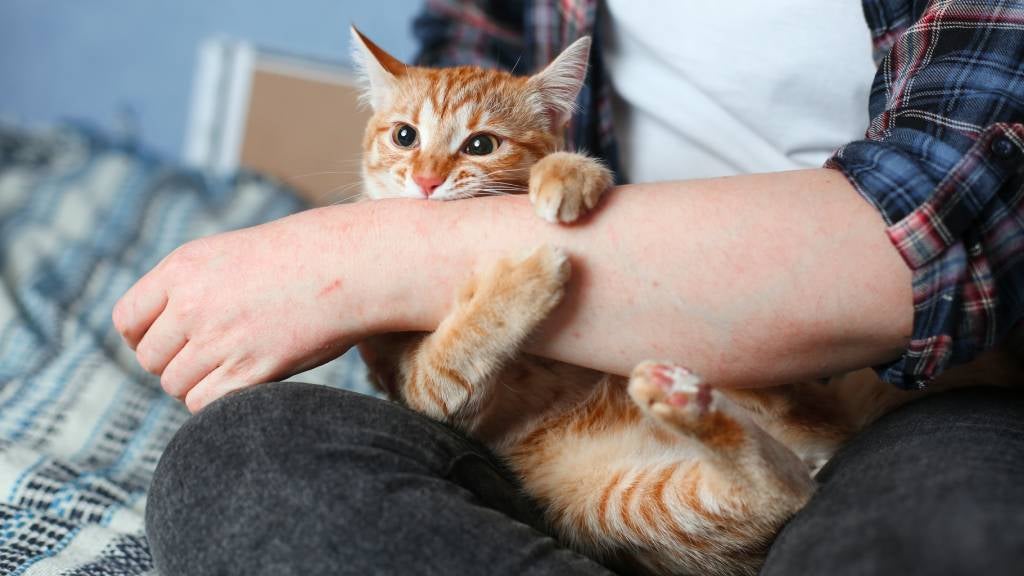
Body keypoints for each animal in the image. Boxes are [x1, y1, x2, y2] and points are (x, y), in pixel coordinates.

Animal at [352, 28, 929, 573]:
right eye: (404, 136)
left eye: (480, 145)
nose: (426, 180)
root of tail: (825, 435)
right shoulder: (421, 391)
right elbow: (450, 360)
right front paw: (528, 277)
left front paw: (570, 171)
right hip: (617, 502)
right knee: (780, 492)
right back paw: (687, 402)